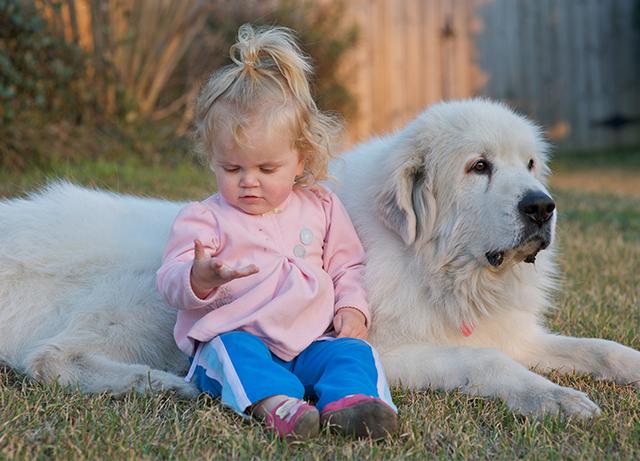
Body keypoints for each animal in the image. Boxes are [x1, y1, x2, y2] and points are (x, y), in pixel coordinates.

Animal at [1, 99, 640, 416]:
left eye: (529, 165)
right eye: (478, 166)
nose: (542, 207)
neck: (436, 266)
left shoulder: (514, 334)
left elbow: (602, 349)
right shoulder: (390, 350)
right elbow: (486, 363)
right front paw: (553, 397)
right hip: (151, 290)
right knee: (51, 359)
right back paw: (157, 384)